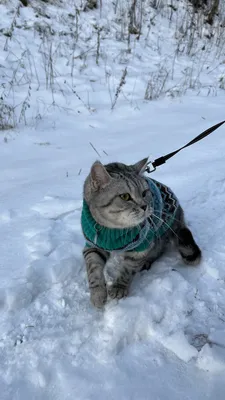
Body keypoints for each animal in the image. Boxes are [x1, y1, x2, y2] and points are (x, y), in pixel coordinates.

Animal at [81, 158, 201, 308]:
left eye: (144, 193)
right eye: (125, 196)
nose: (145, 206)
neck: (112, 229)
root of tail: (180, 216)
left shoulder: (142, 246)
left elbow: (127, 269)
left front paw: (119, 287)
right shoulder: (92, 246)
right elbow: (93, 269)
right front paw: (97, 293)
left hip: (159, 236)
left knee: (158, 251)